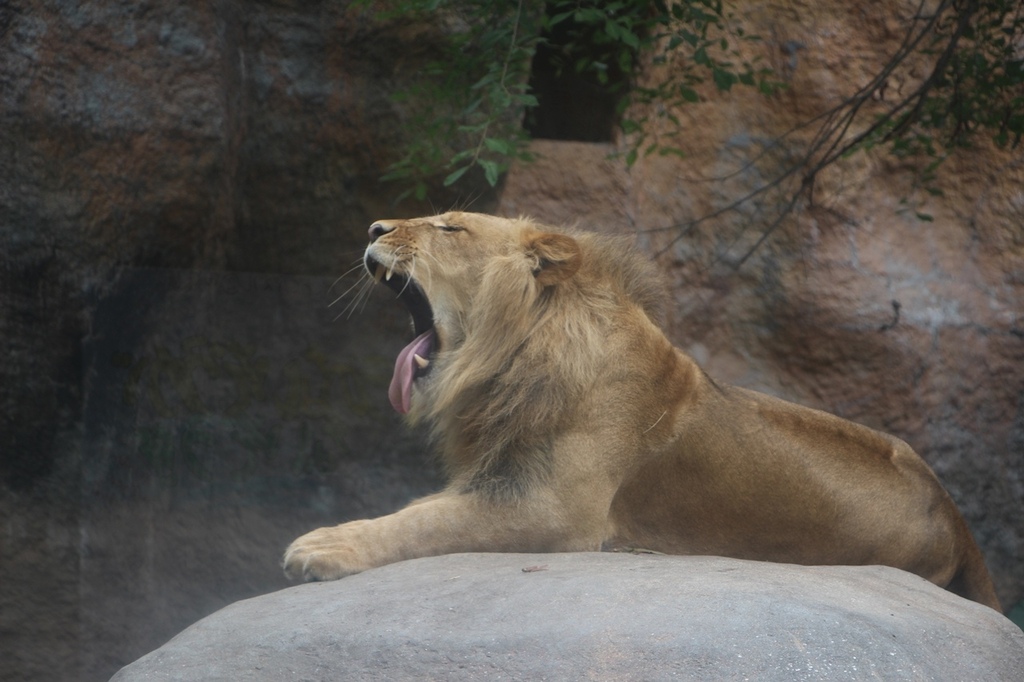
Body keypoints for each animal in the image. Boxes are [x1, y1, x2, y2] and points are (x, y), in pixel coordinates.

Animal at [284, 209, 1003, 606]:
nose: (374, 228)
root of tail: (958, 517)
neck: (512, 359)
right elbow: (429, 511)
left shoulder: (553, 510)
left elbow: (427, 519)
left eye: (450, 226)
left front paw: (323, 544)